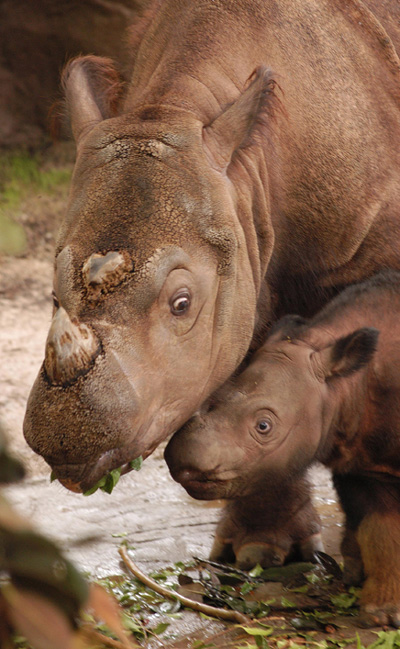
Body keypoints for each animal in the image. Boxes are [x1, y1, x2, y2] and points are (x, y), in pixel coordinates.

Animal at [166, 270, 400, 624]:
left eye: (264, 426)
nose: (184, 467)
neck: (347, 383)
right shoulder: (361, 459)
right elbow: (381, 527)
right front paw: (382, 612)